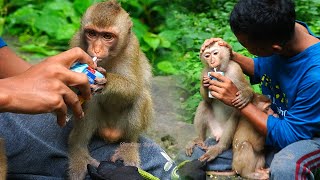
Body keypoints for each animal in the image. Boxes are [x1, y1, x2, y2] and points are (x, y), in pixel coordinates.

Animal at [68, 0, 153, 179]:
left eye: (107, 36)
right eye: (92, 33)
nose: (96, 50)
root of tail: (110, 133)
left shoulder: (132, 48)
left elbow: (134, 88)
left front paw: (106, 81)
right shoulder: (76, 43)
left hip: (123, 127)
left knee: (141, 96)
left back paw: (129, 148)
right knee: (90, 100)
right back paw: (78, 149)